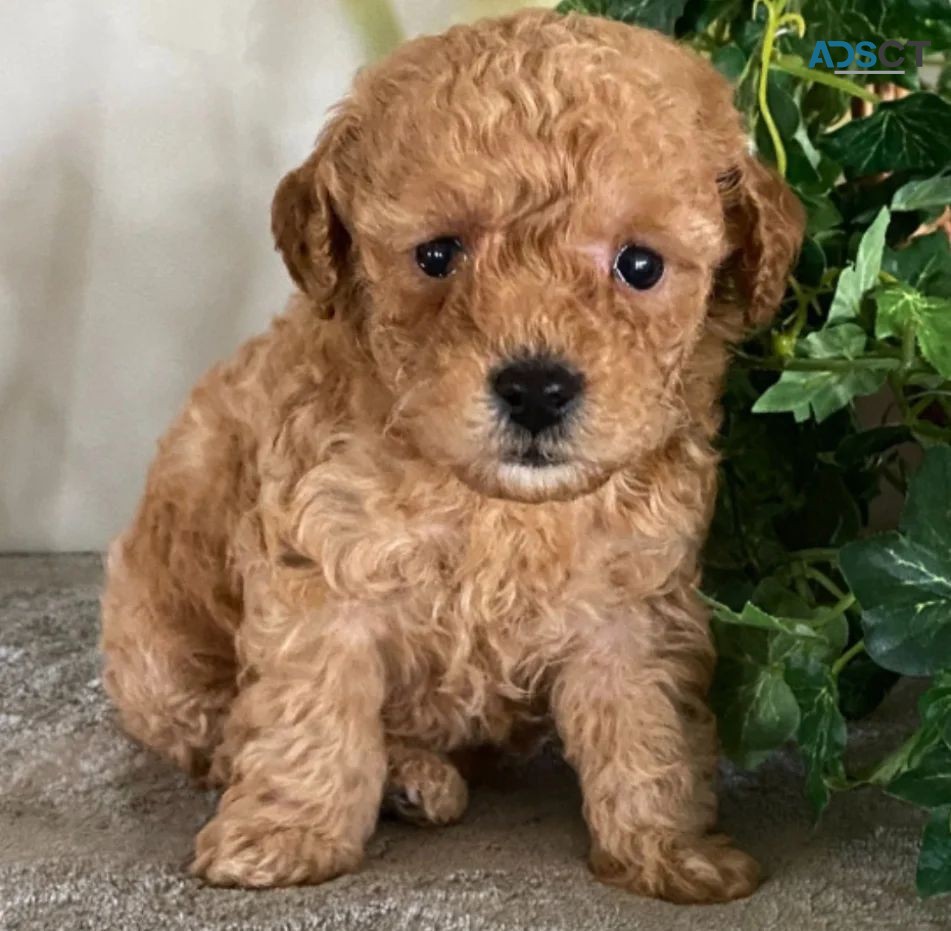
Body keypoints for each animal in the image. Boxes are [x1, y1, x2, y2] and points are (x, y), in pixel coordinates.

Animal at [100, 7, 804, 904]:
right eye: (436, 255)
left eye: (639, 265)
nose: (535, 387)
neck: (494, 505)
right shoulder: (322, 572)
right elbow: (309, 710)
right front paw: (285, 834)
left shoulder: (633, 602)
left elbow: (647, 725)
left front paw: (670, 849)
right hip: (152, 641)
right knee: (209, 725)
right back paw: (393, 775)